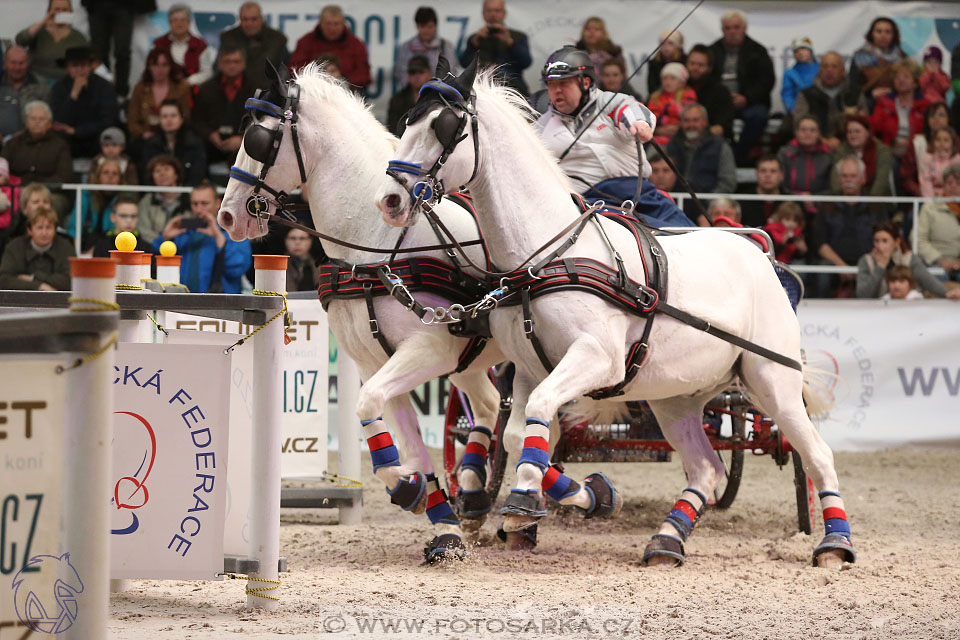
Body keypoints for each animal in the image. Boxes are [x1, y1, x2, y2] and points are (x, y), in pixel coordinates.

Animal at [216, 62, 510, 556]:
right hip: (469, 362)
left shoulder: (429, 349)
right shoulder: (376, 361)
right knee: (488, 407)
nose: (227, 216)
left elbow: (367, 404)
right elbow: (393, 430)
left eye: (258, 139)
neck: (378, 245)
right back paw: (472, 497)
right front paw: (434, 513)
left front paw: (409, 489)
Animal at [374, 62, 856, 568]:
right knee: (707, 468)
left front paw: (526, 499)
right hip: (677, 398)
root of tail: (757, 253)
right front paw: (566, 501)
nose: (390, 200)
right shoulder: (527, 368)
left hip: (771, 379)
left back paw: (834, 544)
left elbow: (540, 411)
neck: (547, 254)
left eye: (445, 128)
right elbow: (520, 433)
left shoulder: (597, 358)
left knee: (816, 454)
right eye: (407, 121)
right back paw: (667, 540)